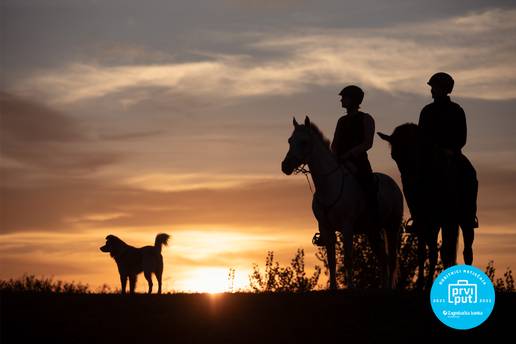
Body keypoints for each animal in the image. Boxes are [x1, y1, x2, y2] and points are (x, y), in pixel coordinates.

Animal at [282, 117, 404, 288]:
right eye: (290, 140)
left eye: (304, 142)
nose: (285, 166)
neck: (330, 185)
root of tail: (394, 184)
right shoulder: (326, 228)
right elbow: (332, 261)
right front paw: (333, 287)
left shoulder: (347, 227)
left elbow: (348, 260)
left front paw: (350, 287)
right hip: (371, 231)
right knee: (383, 258)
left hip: (392, 227)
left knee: (391, 260)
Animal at [376, 122, 478, 288]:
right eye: (394, 156)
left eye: (416, 152)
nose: (410, 183)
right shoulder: (423, 220)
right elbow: (424, 253)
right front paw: (421, 284)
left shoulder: (440, 220)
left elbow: (438, 252)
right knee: (443, 251)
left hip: (464, 220)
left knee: (466, 252)